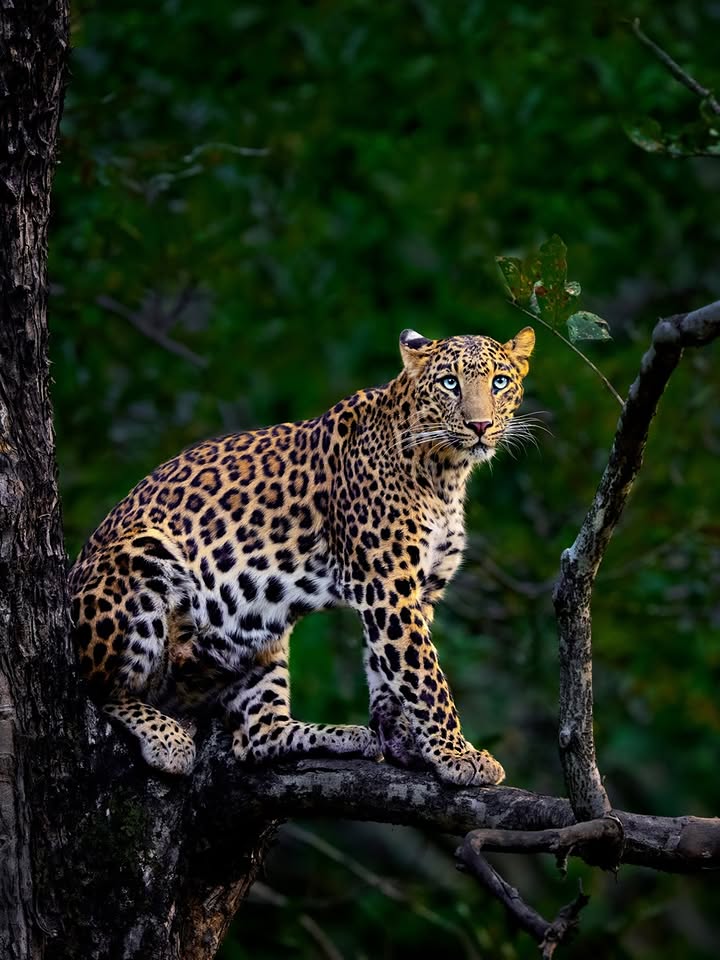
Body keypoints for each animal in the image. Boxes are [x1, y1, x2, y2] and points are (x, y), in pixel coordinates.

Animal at [69, 325, 535, 787]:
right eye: (449, 383)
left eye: (499, 382)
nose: (480, 425)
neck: (445, 472)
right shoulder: (386, 586)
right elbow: (422, 674)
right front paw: (456, 753)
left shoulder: (420, 591)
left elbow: (390, 670)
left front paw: (403, 740)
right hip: (142, 555)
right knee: (98, 688)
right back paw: (167, 737)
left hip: (259, 632)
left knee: (257, 736)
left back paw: (345, 736)